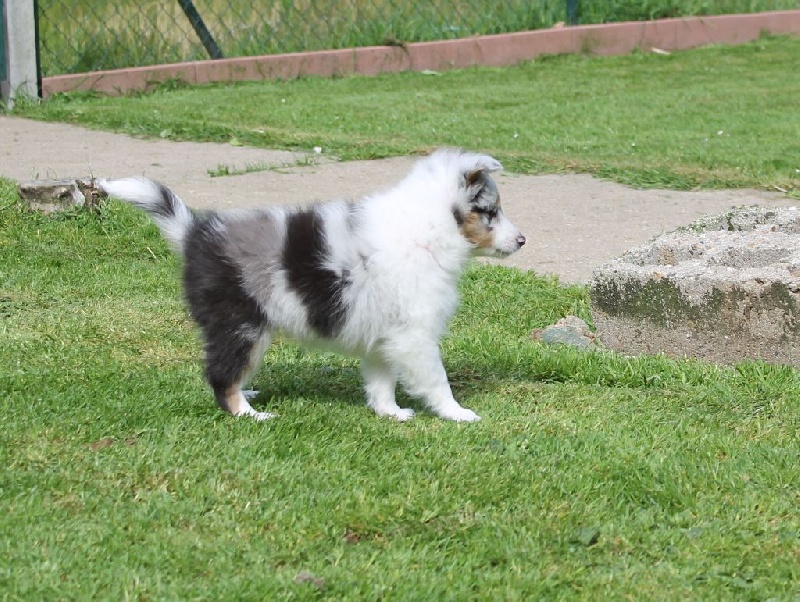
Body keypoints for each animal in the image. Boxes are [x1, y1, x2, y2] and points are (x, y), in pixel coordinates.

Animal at [99, 149, 525, 422]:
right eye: (490, 212)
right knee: (222, 378)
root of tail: (194, 235)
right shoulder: (415, 336)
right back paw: (250, 414)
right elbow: (437, 381)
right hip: (242, 324)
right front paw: (458, 413)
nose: (522, 240)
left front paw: (390, 413)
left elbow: (381, 381)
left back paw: (250, 393)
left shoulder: (385, 334)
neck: (429, 230)